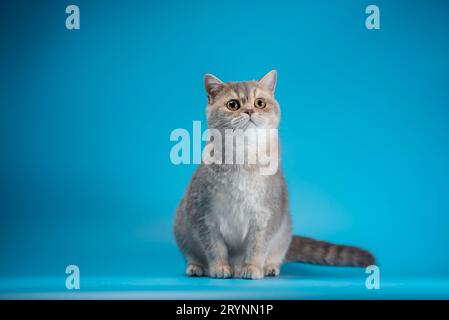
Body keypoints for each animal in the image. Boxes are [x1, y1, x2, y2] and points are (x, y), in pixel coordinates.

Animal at [173, 70, 372, 280]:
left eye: (260, 103)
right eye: (233, 104)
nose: (249, 111)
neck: (244, 158)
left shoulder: (267, 215)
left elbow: (257, 246)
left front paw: (252, 268)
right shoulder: (204, 214)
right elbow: (214, 247)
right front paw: (220, 267)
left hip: (284, 232)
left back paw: (268, 267)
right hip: (181, 226)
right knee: (192, 254)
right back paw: (197, 267)